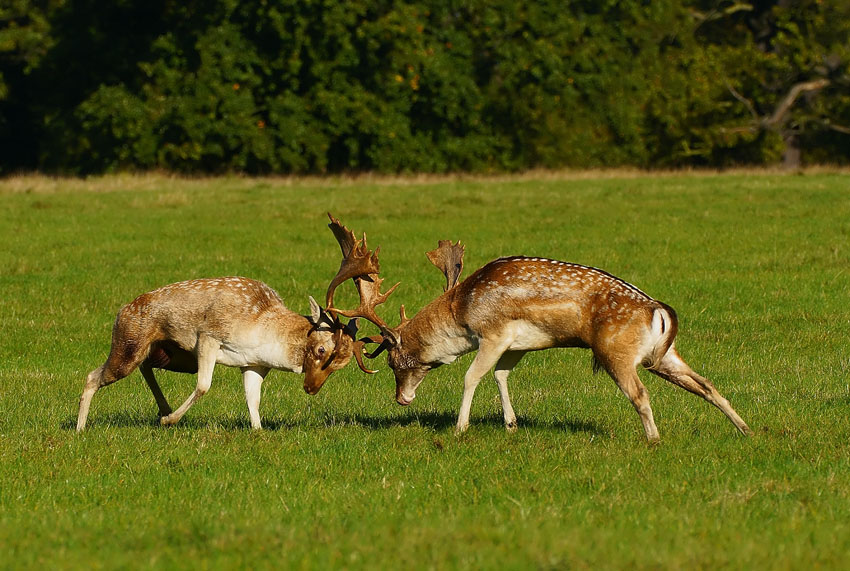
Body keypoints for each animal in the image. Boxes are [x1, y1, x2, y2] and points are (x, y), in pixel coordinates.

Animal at [324, 219, 748, 442]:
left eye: (395, 362)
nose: (401, 399)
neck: (462, 312)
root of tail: (660, 310)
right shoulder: (519, 344)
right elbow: (501, 375)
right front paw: (511, 425)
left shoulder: (492, 333)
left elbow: (472, 375)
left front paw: (460, 428)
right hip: (663, 355)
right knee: (706, 383)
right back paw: (745, 429)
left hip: (617, 351)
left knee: (641, 394)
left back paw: (654, 439)